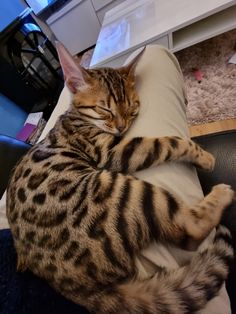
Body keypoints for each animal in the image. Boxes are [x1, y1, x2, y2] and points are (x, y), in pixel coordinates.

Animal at [6, 42, 234, 314]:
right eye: (105, 109)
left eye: (132, 107)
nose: (122, 127)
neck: (77, 117)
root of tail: (71, 285)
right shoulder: (115, 151)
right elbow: (170, 142)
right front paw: (204, 156)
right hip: (121, 188)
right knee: (190, 231)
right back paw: (222, 194)